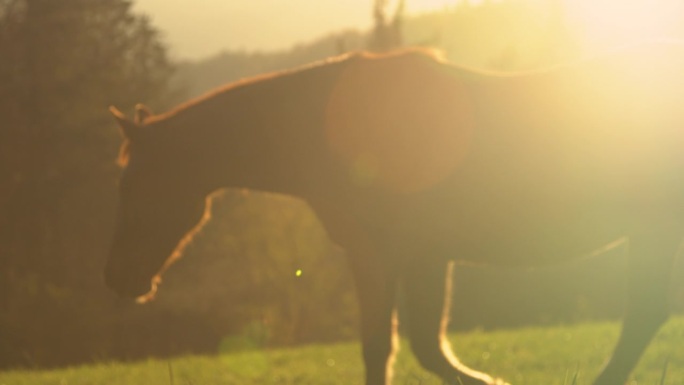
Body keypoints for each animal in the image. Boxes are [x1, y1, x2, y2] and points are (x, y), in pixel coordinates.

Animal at [105, 42, 684, 384]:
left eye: (131, 183)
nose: (118, 279)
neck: (330, 126)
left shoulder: (388, 255)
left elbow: (397, 346)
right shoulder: (418, 257)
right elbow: (413, 347)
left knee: (642, 316)